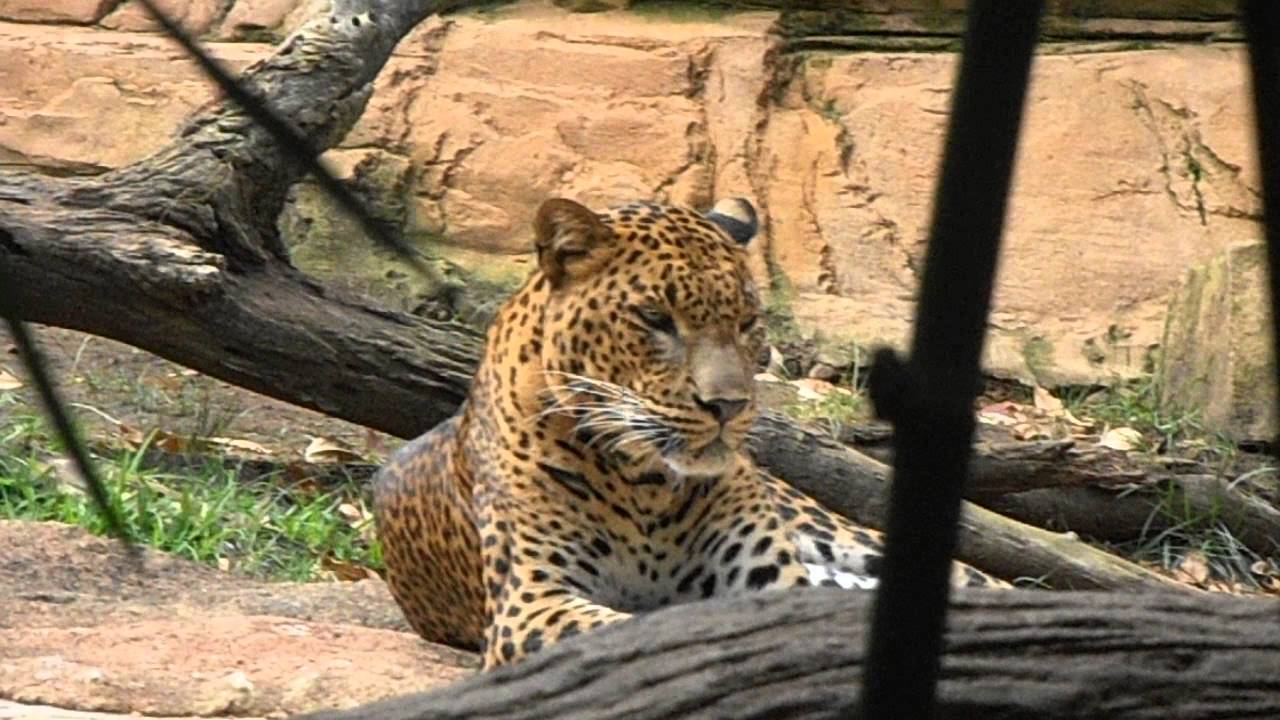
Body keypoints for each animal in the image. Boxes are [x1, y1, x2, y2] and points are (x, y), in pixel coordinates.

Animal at [374, 196, 1008, 669]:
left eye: (748, 322)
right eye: (656, 319)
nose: (727, 405)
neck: (643, 486)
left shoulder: (772, 577)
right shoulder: (531, 603)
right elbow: (620, 632)